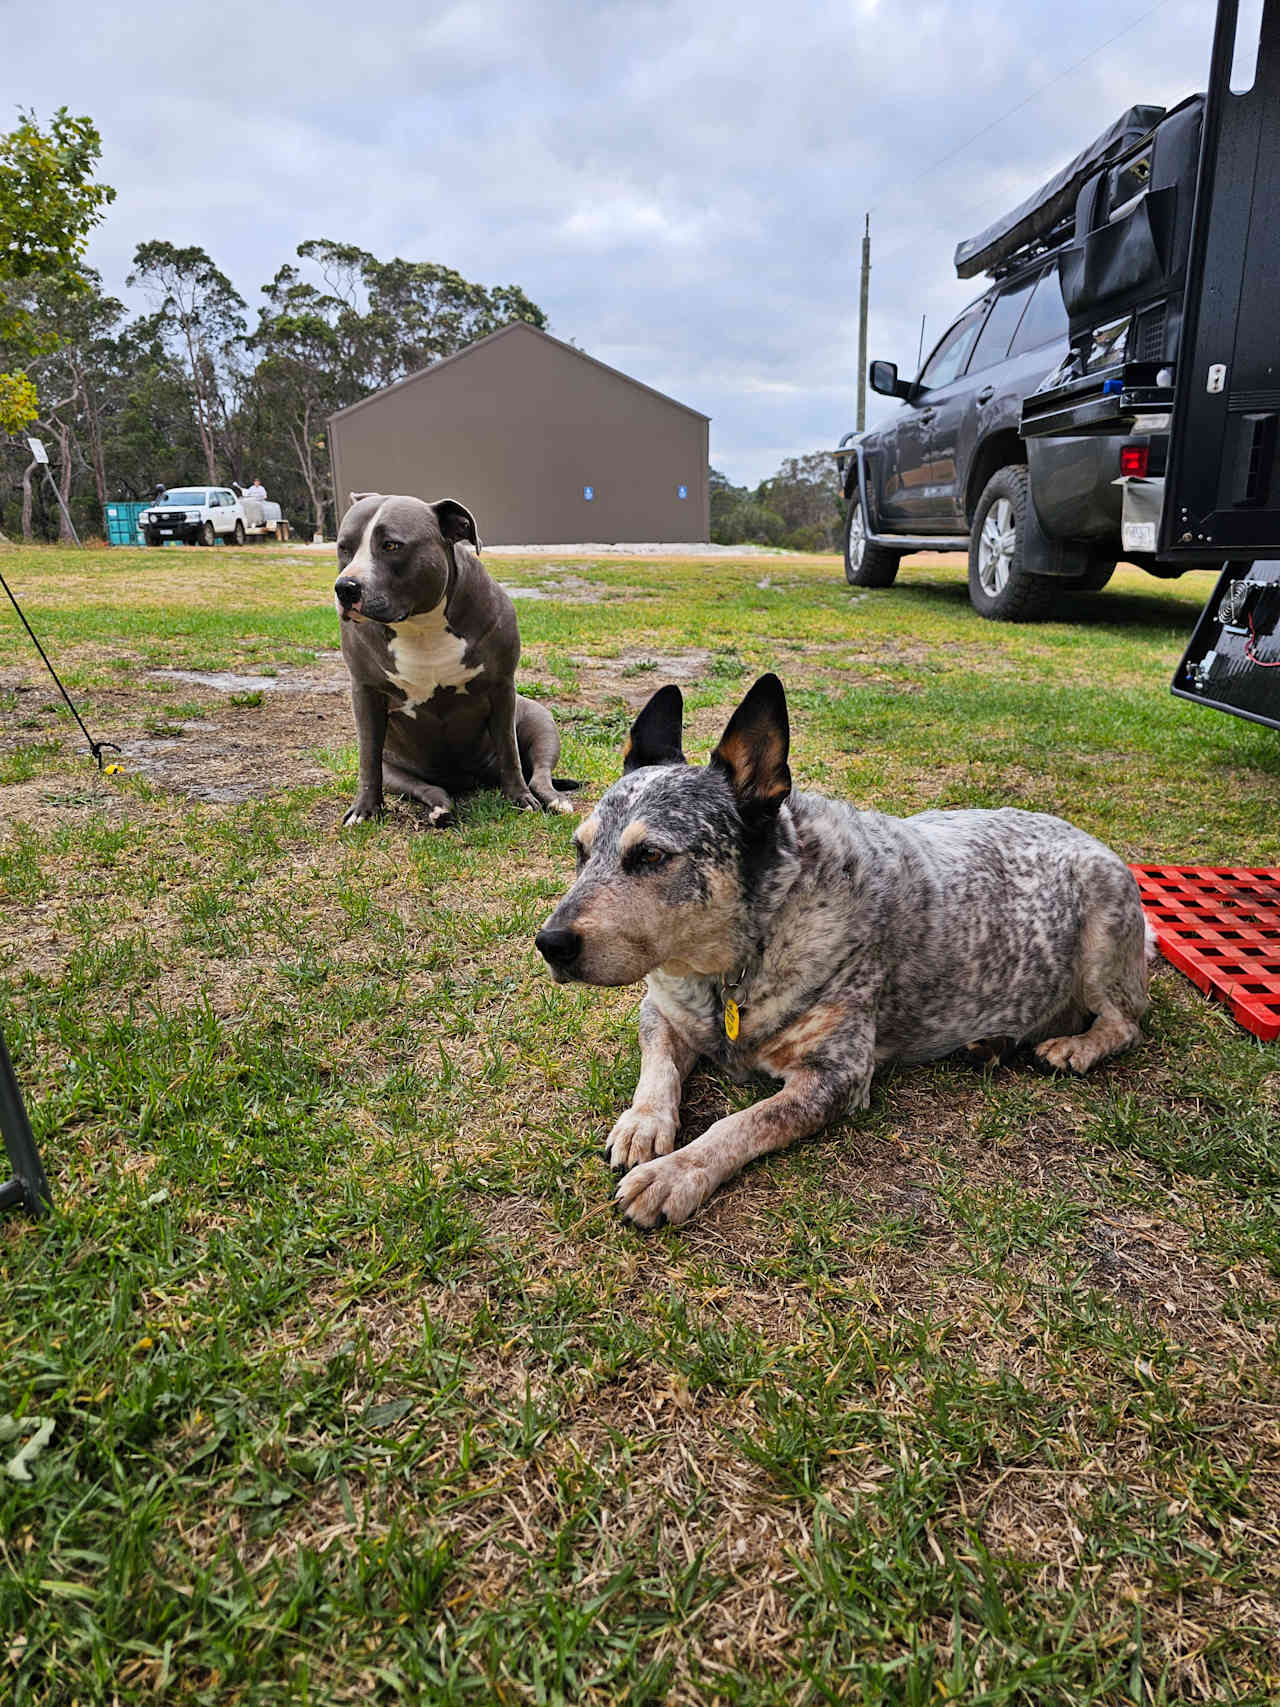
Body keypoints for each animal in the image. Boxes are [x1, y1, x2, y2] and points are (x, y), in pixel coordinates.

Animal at [332, 495, 573, 826]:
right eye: (343, 546)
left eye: (391, 545)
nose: (345, 587)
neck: (421, 626)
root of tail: (467, 781)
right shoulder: (365, 692)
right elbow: (368, 758)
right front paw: (364, 809)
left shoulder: (501, 688)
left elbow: (509, 750)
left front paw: (519, 798)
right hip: (396, 770)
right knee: (426, 787)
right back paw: (441, 808)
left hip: (542, 724)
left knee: (539, 773)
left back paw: (553, 799)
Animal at [535, 675, 1160, 1229]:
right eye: (580, 851)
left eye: (651, 856)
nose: (549, 944)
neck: (735, 964)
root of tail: (1088, 837)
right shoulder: (661, 1010)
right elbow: (658, 1066)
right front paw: (644, 1123)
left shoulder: (836, 1074)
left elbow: (739, 1125)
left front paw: (675, 1173)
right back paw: (991, 1044)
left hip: (1104, 928)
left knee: (1127, 1022)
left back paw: (1076, 1047)